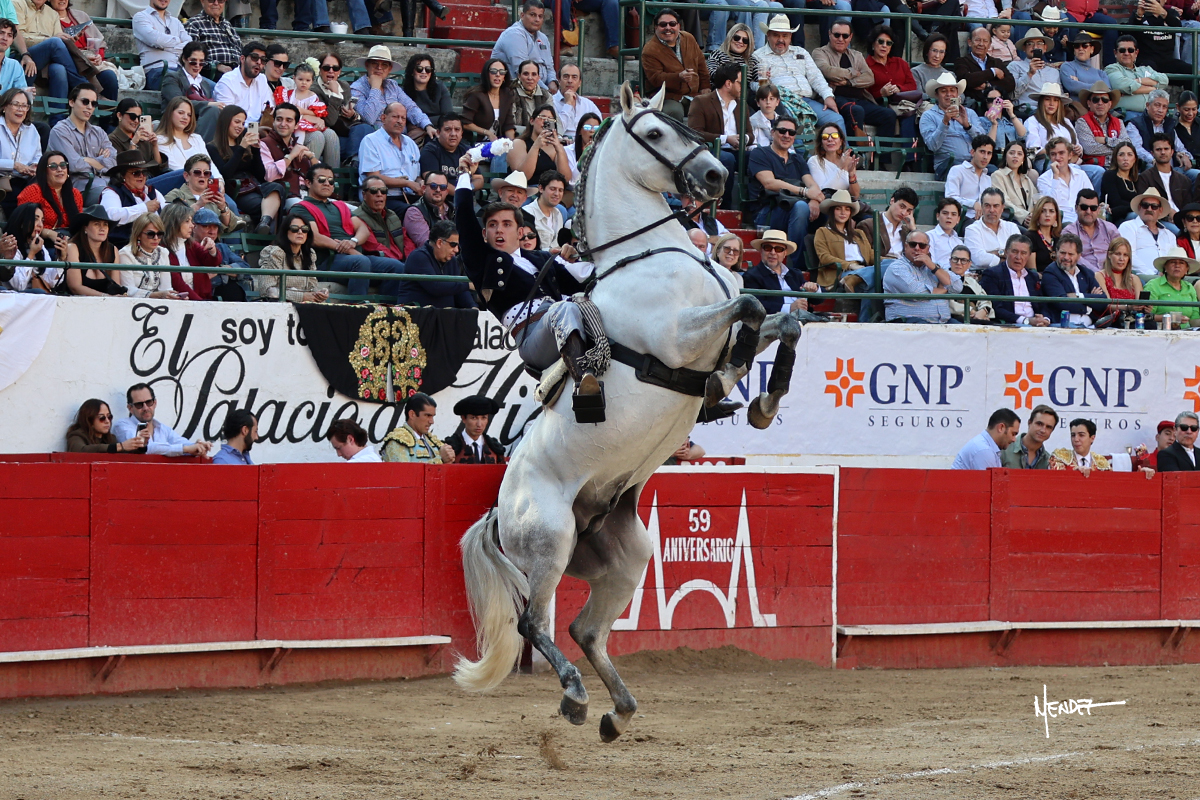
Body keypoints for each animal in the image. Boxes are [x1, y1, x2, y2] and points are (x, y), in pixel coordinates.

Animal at [452, 82, 801, 742]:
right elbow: (748, 303)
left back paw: (618, 710)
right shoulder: (677, 338)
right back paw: (575, 696)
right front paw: (733, 375)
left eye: (685, 125)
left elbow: (781, 321)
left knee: (585, 628)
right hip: (550, 538)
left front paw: (760, 402)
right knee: (535, 623)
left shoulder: (716, 326)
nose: (716, 176)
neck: (651, 254)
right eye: (657, 133)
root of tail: (498, 511)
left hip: (626, 557)